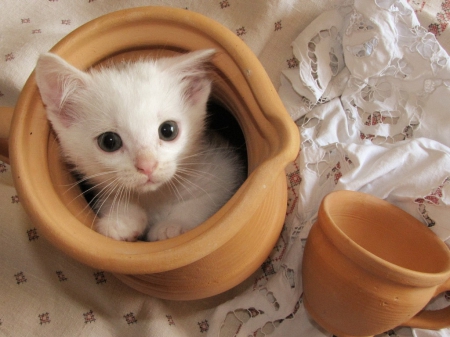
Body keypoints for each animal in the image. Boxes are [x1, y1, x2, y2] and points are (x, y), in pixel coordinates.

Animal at [35, 50, 244, 240]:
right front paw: (122, 220)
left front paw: (173, 226)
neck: (155, 197)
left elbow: (205, 200)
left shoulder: (223, 169)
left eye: (168, 130)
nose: (147, 166)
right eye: (109, 142)